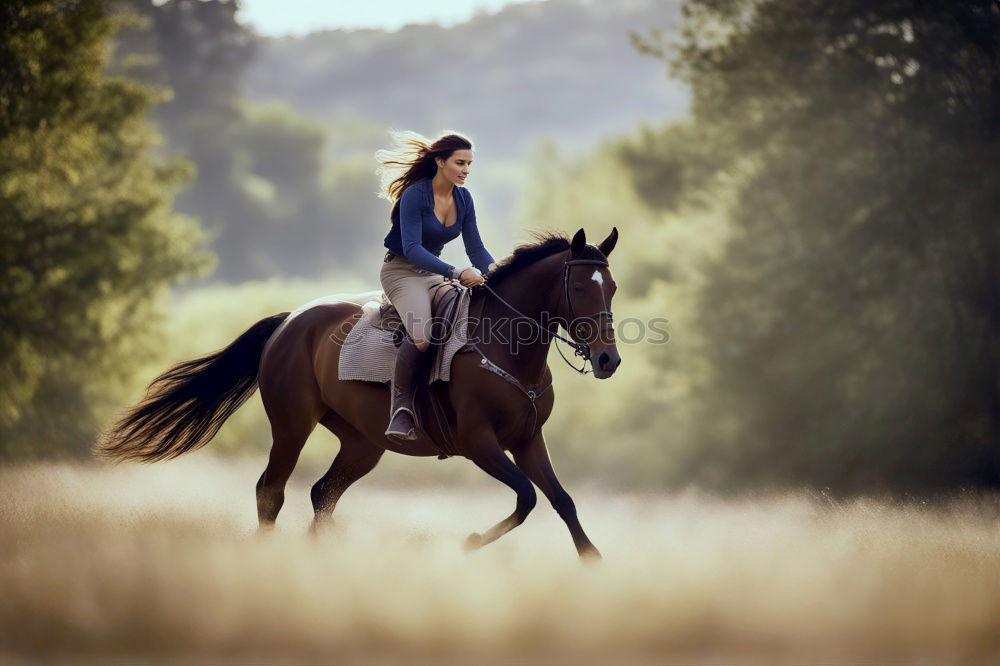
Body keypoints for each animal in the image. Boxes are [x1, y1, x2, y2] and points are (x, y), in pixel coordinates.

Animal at [99, 226, 616, 556]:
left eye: (610, 286)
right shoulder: (479, 443)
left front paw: (593, 562)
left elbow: (562, 500)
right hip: (292, 426)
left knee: (322, 494)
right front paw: (469, 544)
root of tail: (289, 320)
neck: (505, 348)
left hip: (363, 443)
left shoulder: (527, 440)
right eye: (579, 288)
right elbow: (527, 497)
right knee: (272, 492)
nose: (609, 360)